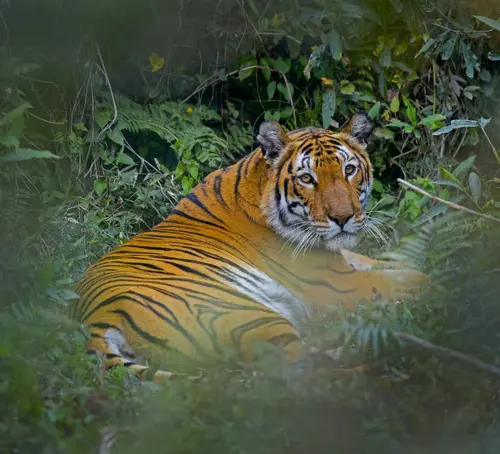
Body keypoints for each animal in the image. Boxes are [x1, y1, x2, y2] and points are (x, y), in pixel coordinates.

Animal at [73, 111, 430, 382]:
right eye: (307, 179)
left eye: (349, 170)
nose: (343, 218)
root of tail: (94, 318)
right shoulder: (339, 285)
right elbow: (415, 281)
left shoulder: (347, 260)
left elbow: (399, 266)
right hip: (252, 318)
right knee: (291, 379)